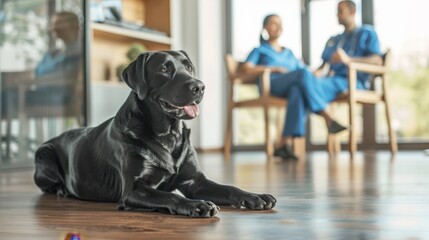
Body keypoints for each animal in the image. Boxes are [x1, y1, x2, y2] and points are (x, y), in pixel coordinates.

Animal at [32, 50, 274, 218]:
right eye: (164, 69)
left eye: (189, 67)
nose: (199, 87)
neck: (169, 135)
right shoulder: (133, 191)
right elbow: (169, 195)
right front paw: (197, 205)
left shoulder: (195, 182)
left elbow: (229, 187)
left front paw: (255, 196)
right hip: (44, 155)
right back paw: (63, 189)